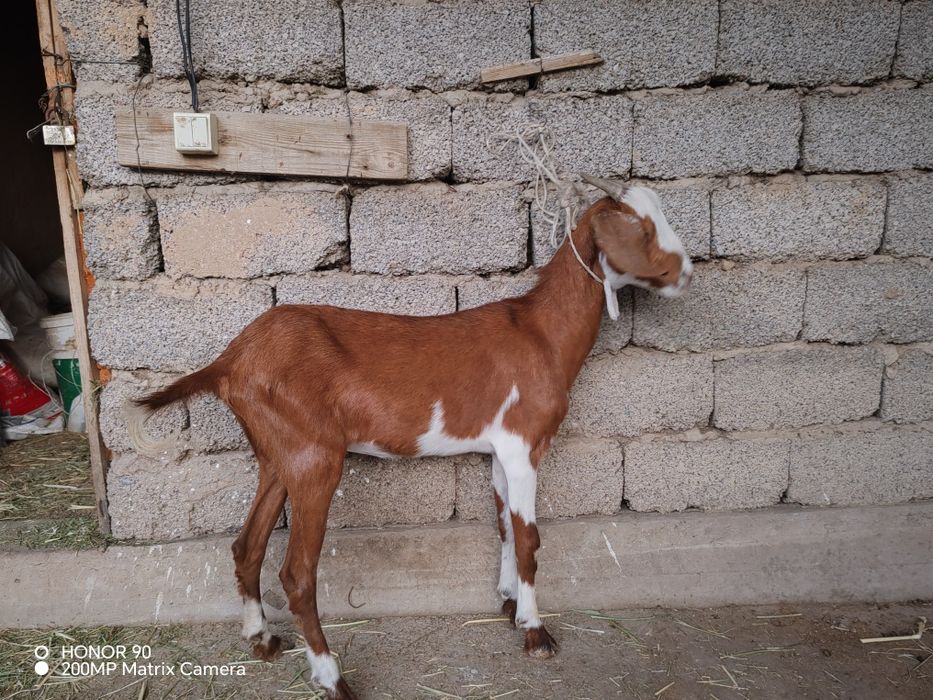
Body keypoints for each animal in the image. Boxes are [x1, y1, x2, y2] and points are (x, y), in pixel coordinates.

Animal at [130, 178, 692, 700]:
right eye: (640, 227)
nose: (686, 272)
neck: (541, 334)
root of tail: (230, 360)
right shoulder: (523, 443)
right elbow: (530, 538)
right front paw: (536, 632)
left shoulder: (498, 450)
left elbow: (505, 529)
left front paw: (509, 602)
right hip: (314, 457)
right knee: (296, 573)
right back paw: (332, 678)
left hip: (276, 452)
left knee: (247, 545)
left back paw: (262, 640)